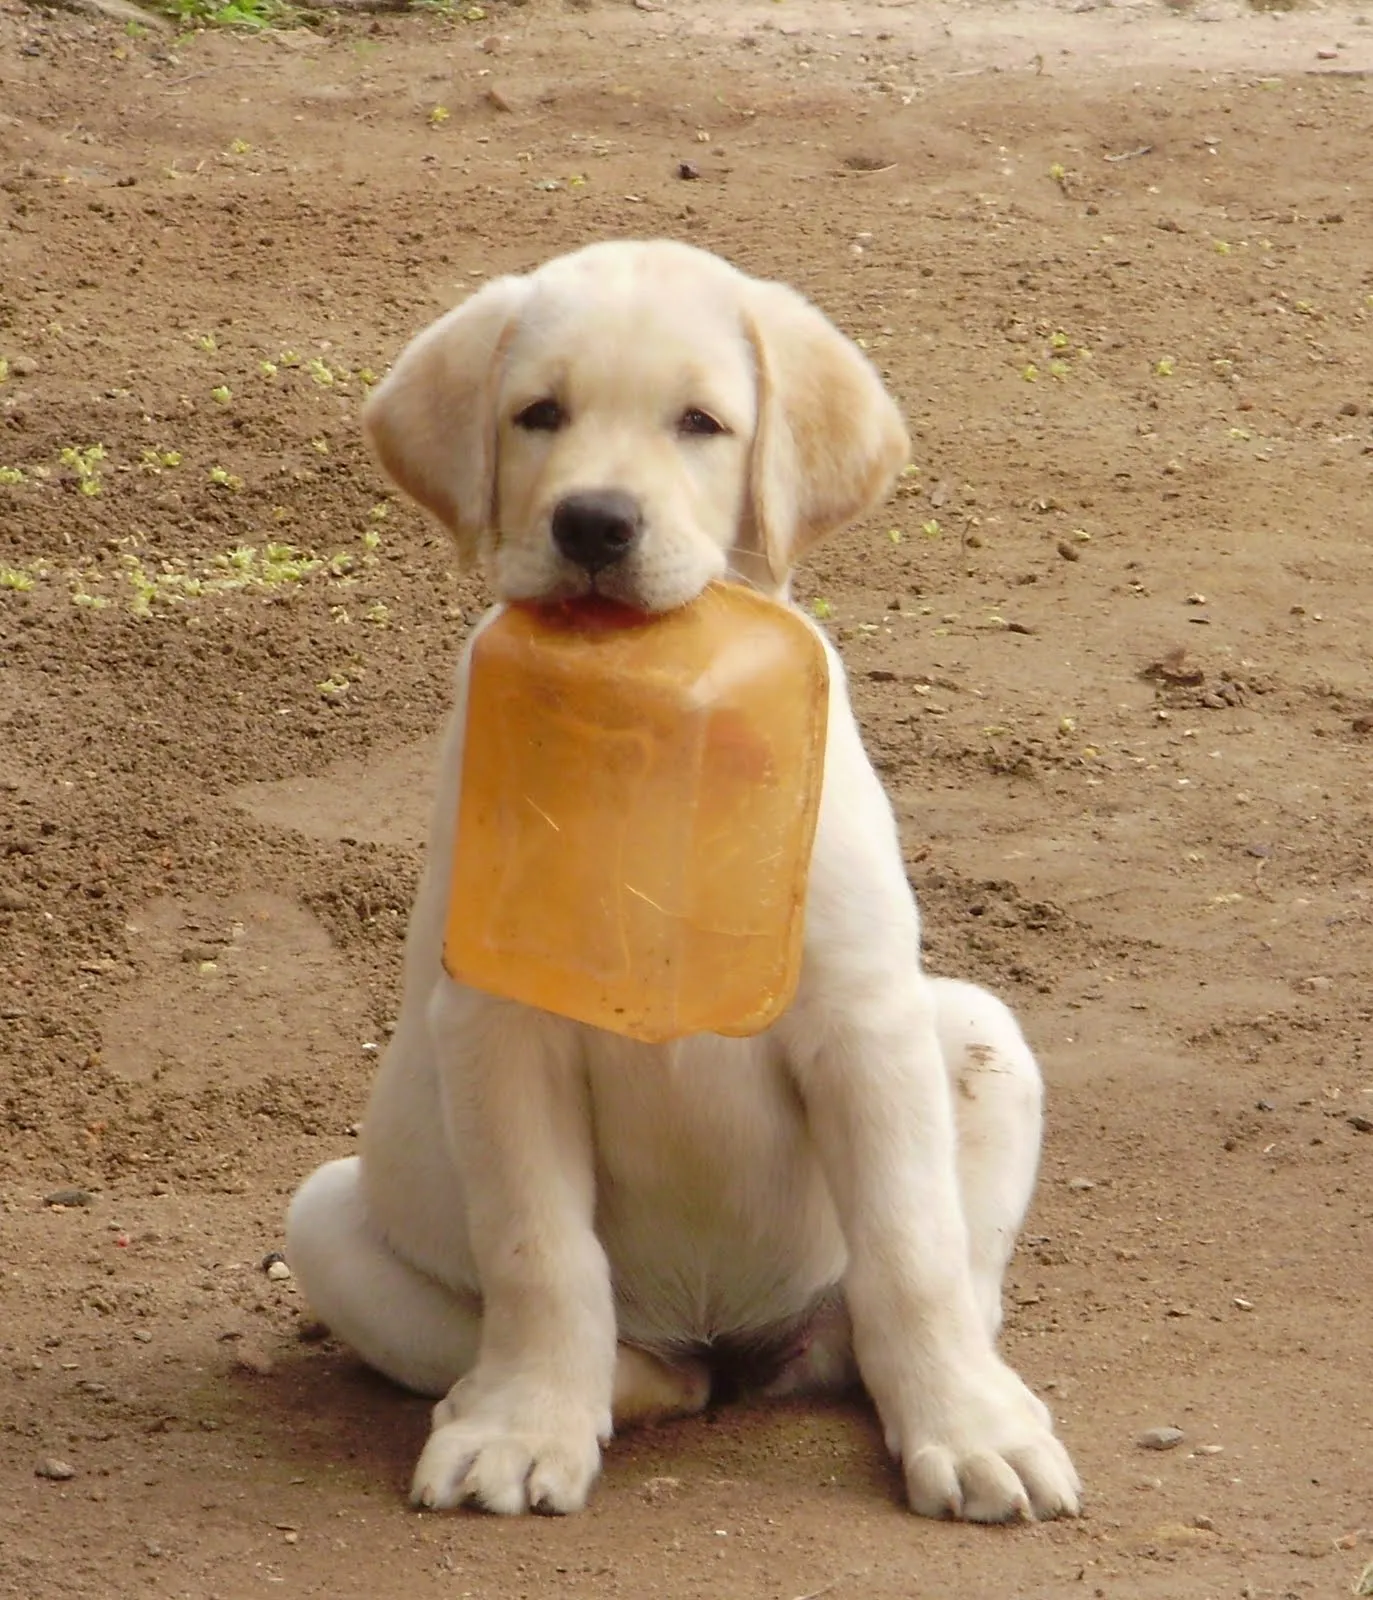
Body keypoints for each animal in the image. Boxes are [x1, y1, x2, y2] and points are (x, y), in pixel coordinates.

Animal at [286, 236, 1081, 1523]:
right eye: (537, 414)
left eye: (700, 423)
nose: (595, 522)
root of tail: (729, 1338)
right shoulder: (501, 1025)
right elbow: (541, 1255)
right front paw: (520, 1430)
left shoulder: (863, 1023)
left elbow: (909, 1253)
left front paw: (967, 1432)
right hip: (327, 1218)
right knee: (619, 1354)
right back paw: (556, 1389)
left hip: (978, 1032)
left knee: (927, 1295)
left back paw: (960, 1384)